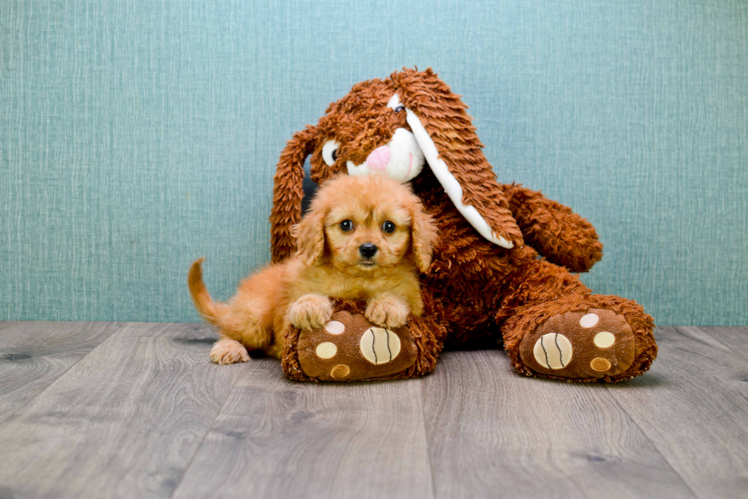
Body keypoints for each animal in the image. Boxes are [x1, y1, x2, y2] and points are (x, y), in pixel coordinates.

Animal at [188, 174, 438, 366]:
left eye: (389, 227)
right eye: (346, 224)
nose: (368, 249)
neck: (358, 278)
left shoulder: (416, 304)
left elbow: (400, 297)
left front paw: (387, 304)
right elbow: (304, 297)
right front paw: (309, 306)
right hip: (254, 318)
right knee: (228, 331)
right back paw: (228, 348)